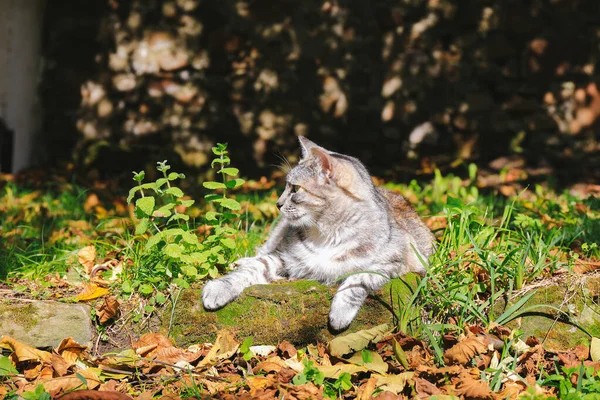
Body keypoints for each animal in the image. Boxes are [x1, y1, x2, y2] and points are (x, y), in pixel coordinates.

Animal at [203, 136, 436, 330]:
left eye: (295, 189)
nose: (277, 204)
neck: (328, 234)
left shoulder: (392, 263)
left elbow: (359, 279)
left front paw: (340, 312)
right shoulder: (286, 258)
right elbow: (254, 267)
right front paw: (220, 287)